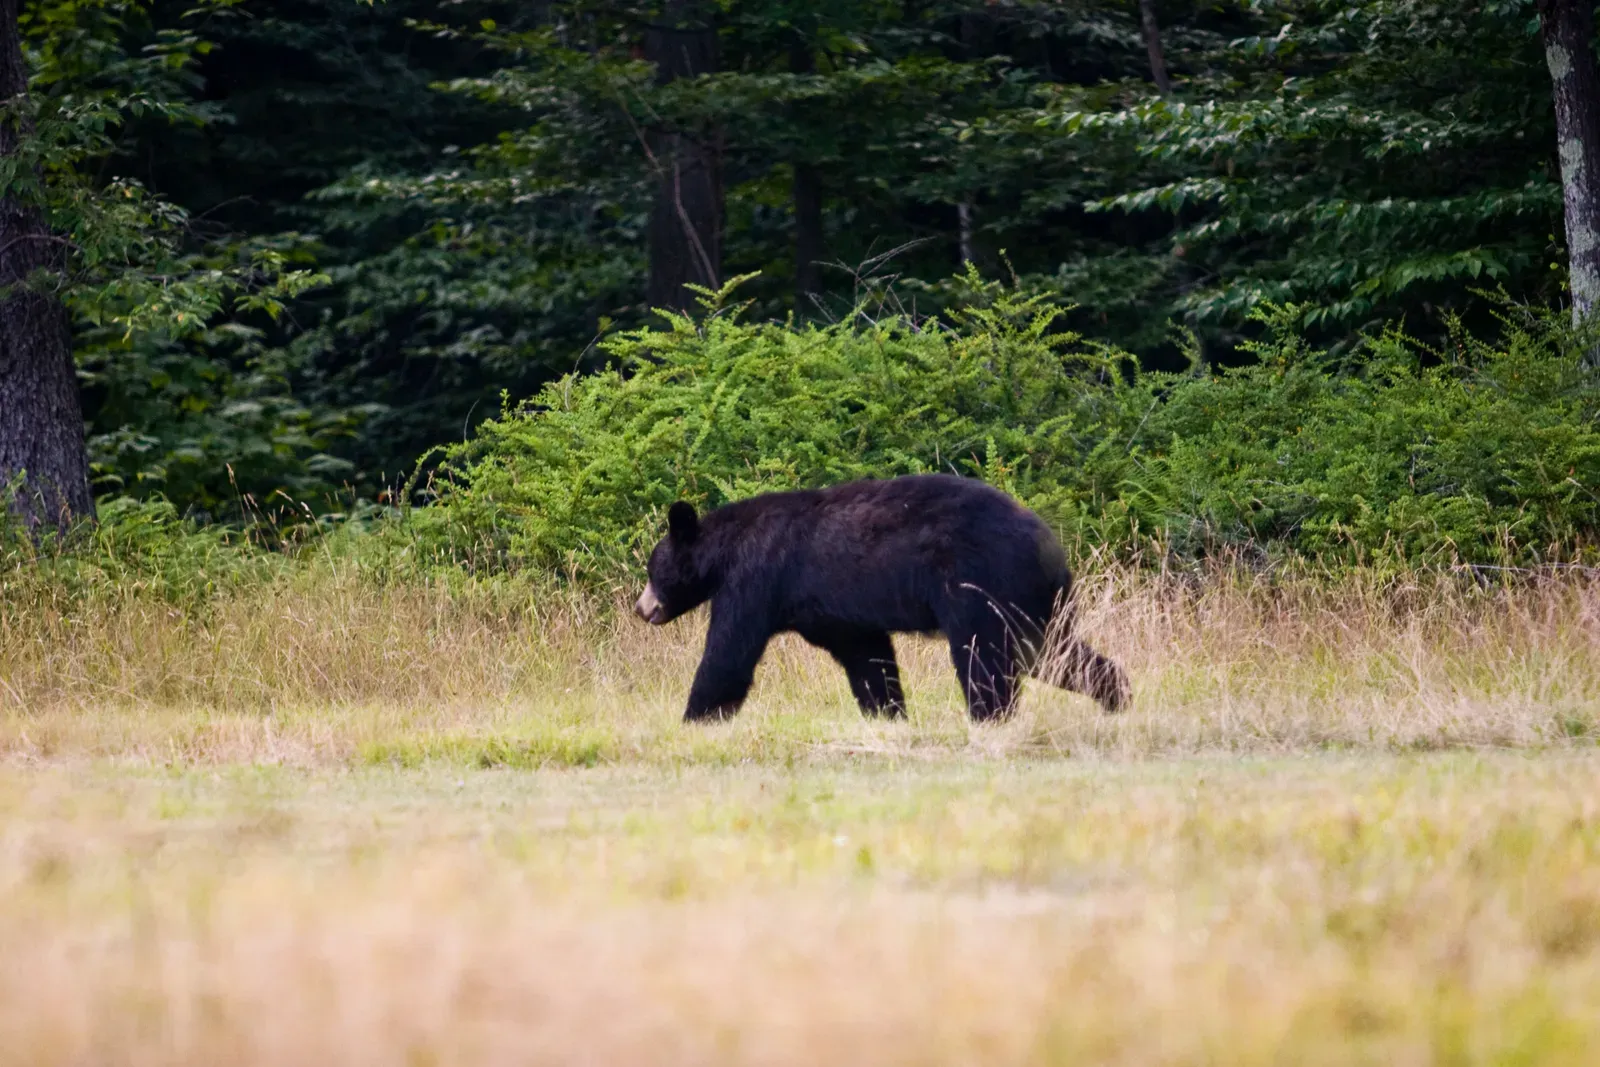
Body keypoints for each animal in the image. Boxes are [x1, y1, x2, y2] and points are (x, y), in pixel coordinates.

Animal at [633, 473, 1129, 722]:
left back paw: (989, 716)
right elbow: (866, 657)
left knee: (983, 655)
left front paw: (695, 717)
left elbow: (729, 651)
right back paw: (1116, 696)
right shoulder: (833, 612)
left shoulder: (756, 578)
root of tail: (1051, 547)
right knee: (1049, 652)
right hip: (1030, 600)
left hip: (980, 582)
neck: (725, 550)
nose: (642, 608)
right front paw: (888, 713)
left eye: (653, 570)